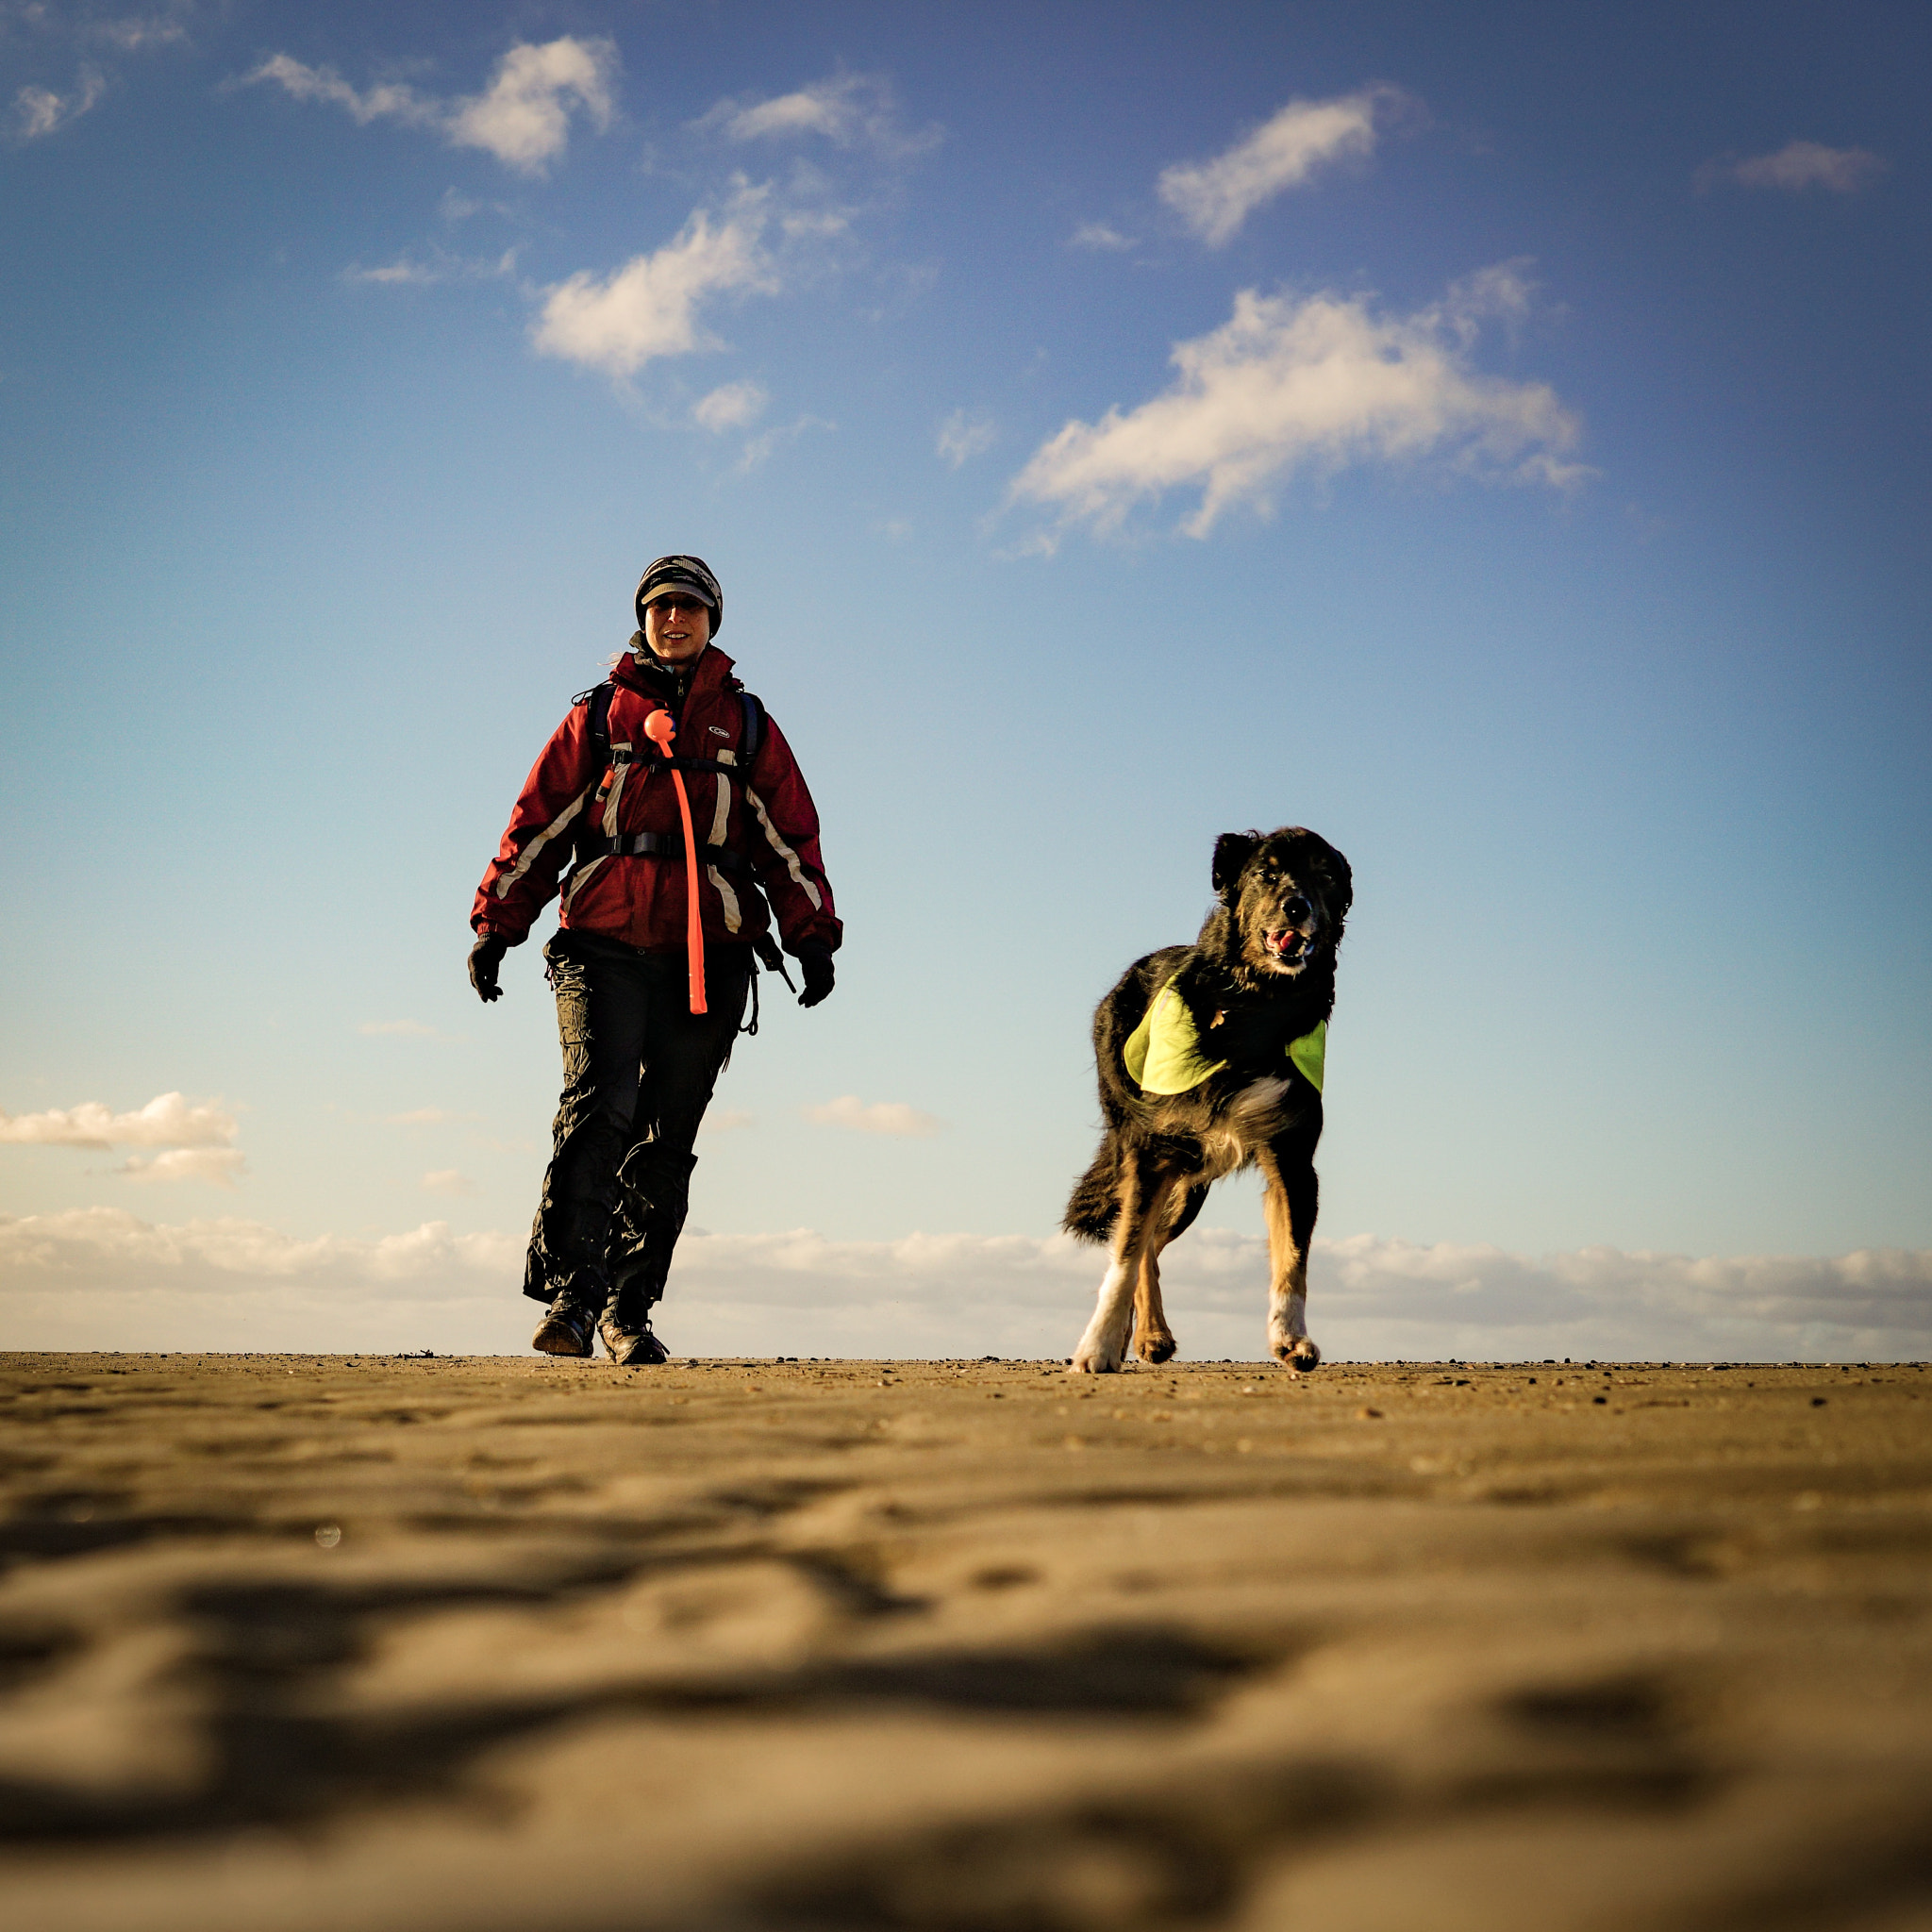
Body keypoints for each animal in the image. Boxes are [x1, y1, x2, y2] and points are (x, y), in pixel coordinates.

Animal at [1066, 830, 1352, 1375]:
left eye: (1326, 875)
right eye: (1266, 873)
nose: (1297, 906)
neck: (1256, 1006)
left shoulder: (1291, 1157)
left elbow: (1292, 1257)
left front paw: (1291, 1337)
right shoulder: (1153, 1147)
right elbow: (1124, 1252)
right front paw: (1097, 1344)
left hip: (1191, 1184)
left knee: (1154, 1247)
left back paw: (1151, 1334)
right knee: (1139, 1241)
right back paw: (1141, 1334)